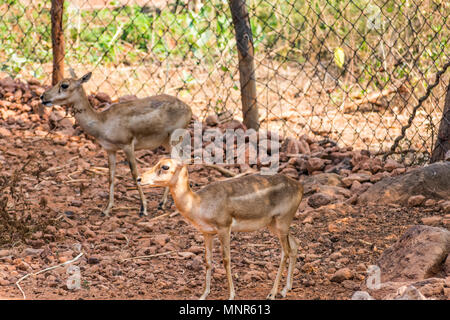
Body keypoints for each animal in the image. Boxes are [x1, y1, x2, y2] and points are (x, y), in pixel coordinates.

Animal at [40, 69, 192, 216]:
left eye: (64, 85)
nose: (43, 97)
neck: (102, 122)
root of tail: (188, 108)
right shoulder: (110, 149)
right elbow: (111, 176)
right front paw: (106, 210)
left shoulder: (127, 146)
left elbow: (134, 174)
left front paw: (143, 209)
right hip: (166, 142)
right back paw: (163, 203)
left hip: (174, 140)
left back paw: (163, 203)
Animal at [137, 158, 304, 300]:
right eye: (157, 161)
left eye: (165, 166)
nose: (139, 179)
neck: (199, 203)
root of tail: (300, 187)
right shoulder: (207, 232)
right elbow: (208, 260)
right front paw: (203, 294)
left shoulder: (224, 227)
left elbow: (226, 259)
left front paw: (231, 295)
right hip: (275, 225)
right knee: (295, 245)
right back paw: (285, 289)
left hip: (282, 221)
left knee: (285, 252)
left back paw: (272, 293)